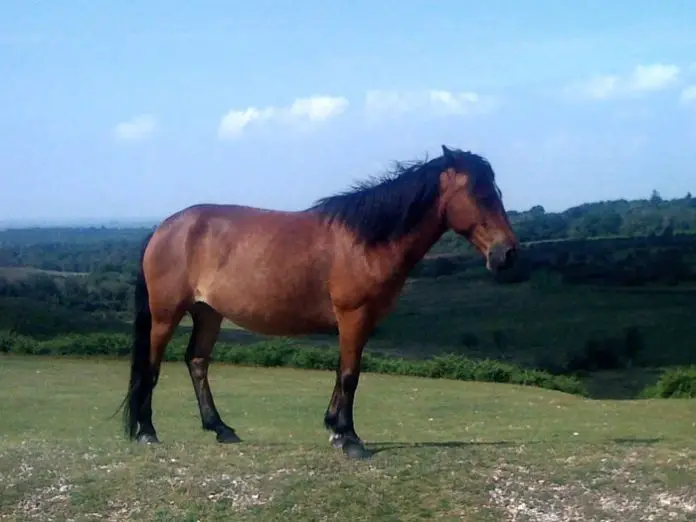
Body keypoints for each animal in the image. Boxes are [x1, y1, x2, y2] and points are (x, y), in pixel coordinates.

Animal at [119, 144, 519, 459]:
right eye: (481, 194)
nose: (508, 254)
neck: (365, 240)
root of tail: (163, 228)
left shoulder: (361, 321)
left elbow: (342, 373)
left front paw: (334, 429)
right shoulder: (354, 315)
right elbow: (350, 375)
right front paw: (350, 438)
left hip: (209, 313)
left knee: (197, 361)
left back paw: (221, 428)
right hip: (166, 315)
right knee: (151, 366)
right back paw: (146, 432)